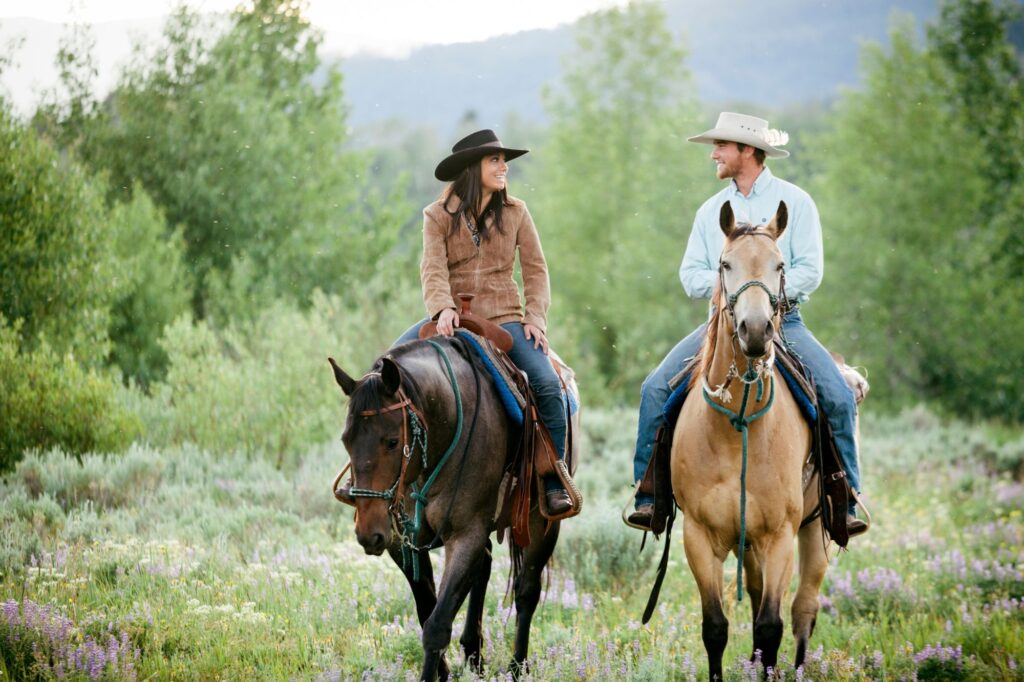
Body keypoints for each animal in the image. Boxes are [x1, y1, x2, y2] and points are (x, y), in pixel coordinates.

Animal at [325, 335, 573, 679]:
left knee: (527, 591)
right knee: (484, 568)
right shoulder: (402, 542)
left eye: (392, 441)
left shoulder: (466, 534)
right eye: (346, 440)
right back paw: (474, 654)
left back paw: (517, 666)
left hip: (542, 523)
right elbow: (426, 610)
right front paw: (444, 671)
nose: (368, 532)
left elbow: (437, 625)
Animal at [671, 199, 831, 675]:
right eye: (726, 264)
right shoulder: (700, 537)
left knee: (803, 609)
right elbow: (715, 628)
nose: (756, 330)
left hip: (813, 531)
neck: (737, 426)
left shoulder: (779, 536)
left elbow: (769, 626)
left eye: (780, 265)